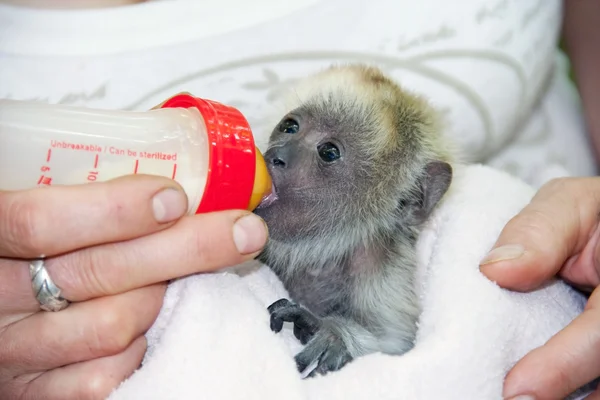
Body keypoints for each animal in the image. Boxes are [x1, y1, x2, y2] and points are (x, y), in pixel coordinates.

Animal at [254, 64, 454, 376]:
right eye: (290, 127)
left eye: (329, 152)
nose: (276, 156)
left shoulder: (380, 266)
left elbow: (398, 345)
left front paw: (334, 334)